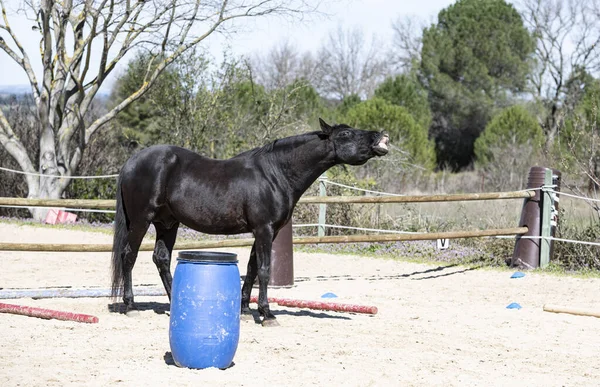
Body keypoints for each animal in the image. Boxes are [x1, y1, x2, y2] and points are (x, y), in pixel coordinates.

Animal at [111, 119, 390, 328]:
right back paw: (130, 305)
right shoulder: (264, 229)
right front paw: (267, 314)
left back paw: (175, 303)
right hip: (142, 220)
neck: (275, 174)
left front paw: (245, 311)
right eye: (346, 133)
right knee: (129, 255)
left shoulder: (265, 231)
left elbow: (252, 268)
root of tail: (132, 161)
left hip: (168, 224)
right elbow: (264, 270)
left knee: (161, 259)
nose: (381, 136)